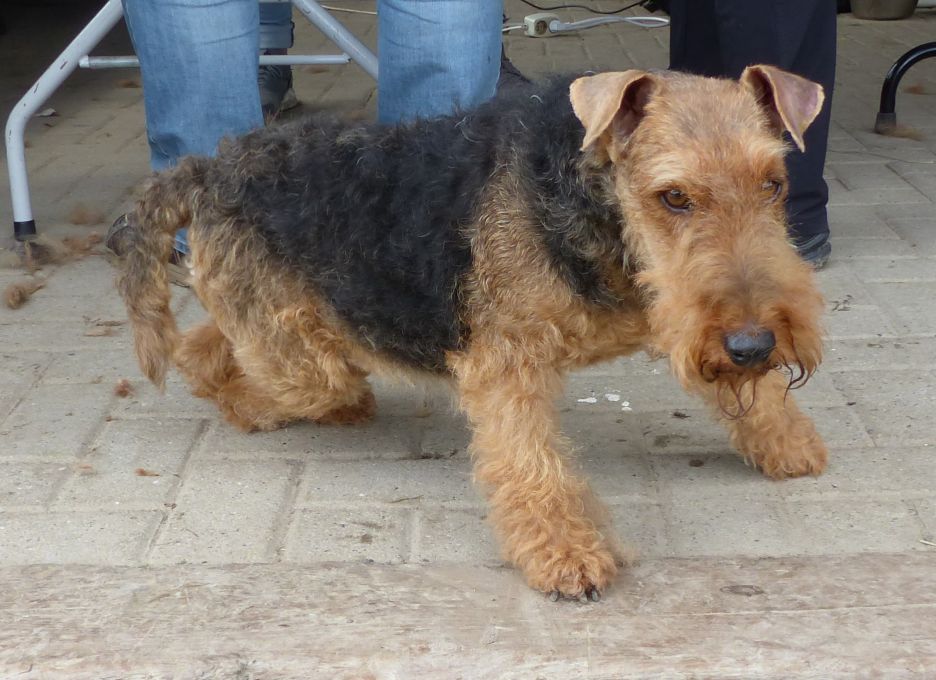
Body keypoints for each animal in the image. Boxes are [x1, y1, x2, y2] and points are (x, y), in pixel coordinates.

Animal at [118, 65, 827, 600]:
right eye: (674, 196)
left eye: (773, 184)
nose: (754, 347)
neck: (593, 207)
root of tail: (207, 167)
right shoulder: (506, 363)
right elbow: (530, 462)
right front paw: (567, 556)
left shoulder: (670, 310)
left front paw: (786, 441)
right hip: (296, 359)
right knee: (219, 355)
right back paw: (242, 403)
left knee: (217, 341)